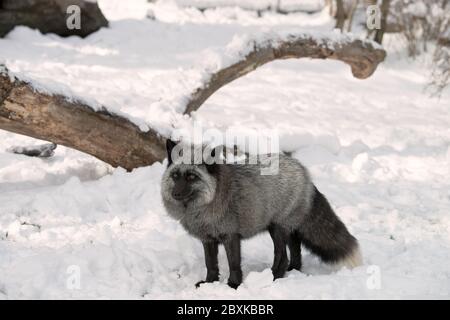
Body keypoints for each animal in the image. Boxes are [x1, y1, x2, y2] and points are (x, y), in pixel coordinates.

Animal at [162, 140, 362, 290]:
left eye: (191, 177)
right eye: (175, 176)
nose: (175, 194)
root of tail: (303, 171)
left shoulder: (230, 236)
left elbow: (234, 264)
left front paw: (233, 285)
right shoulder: (208, 239)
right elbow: (210, 264)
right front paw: (209, 283)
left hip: (277, 228)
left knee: (282, 256)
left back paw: (274, 277)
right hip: (287, 228)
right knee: (295, 249)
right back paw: (292, 270)